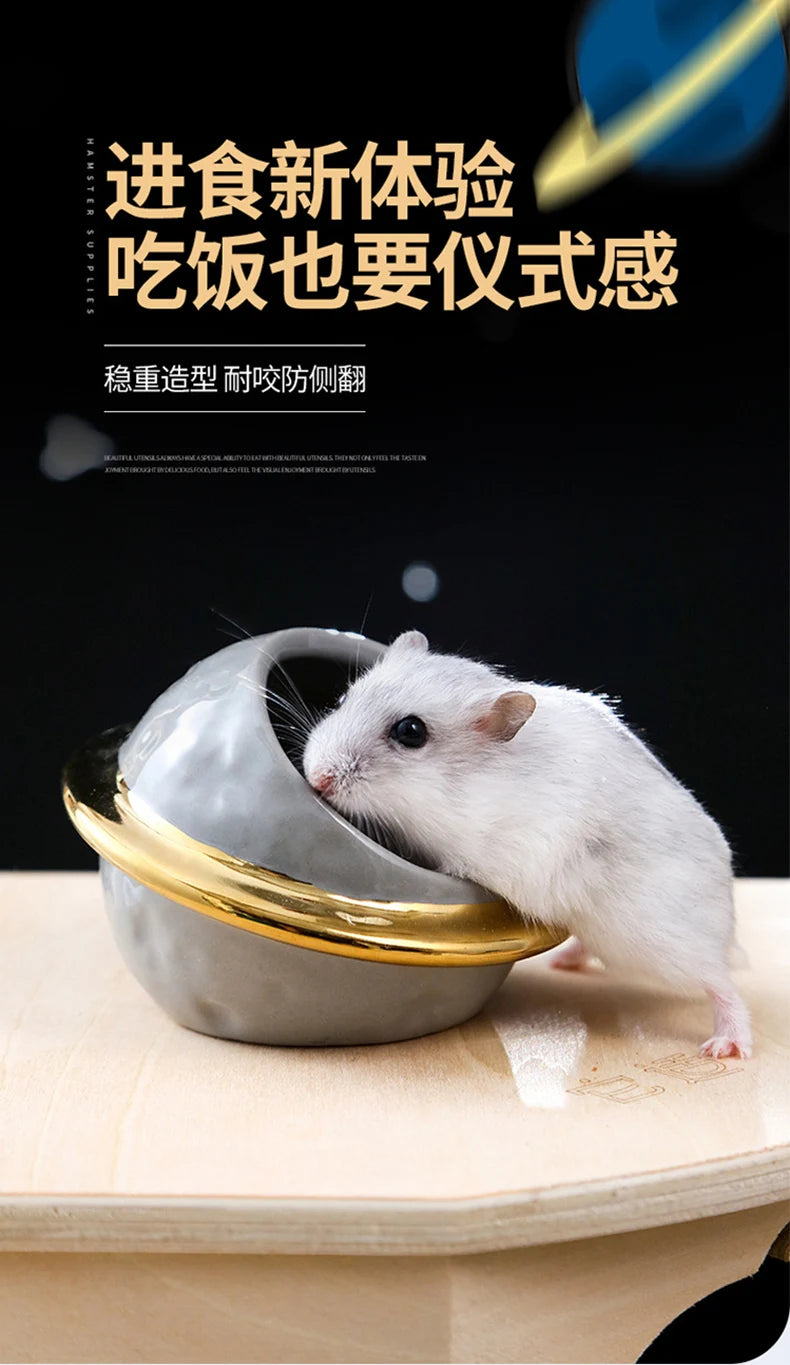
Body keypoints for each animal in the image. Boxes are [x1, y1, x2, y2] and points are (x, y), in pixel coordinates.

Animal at [302, 630, 752, 1059]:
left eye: (410, 732)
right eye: (343, 698)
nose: (316, 778)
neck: (462, 788)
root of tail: (728, 920)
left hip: (659, 943)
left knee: (723, 983)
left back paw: (727, 1047)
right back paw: (562, 963)